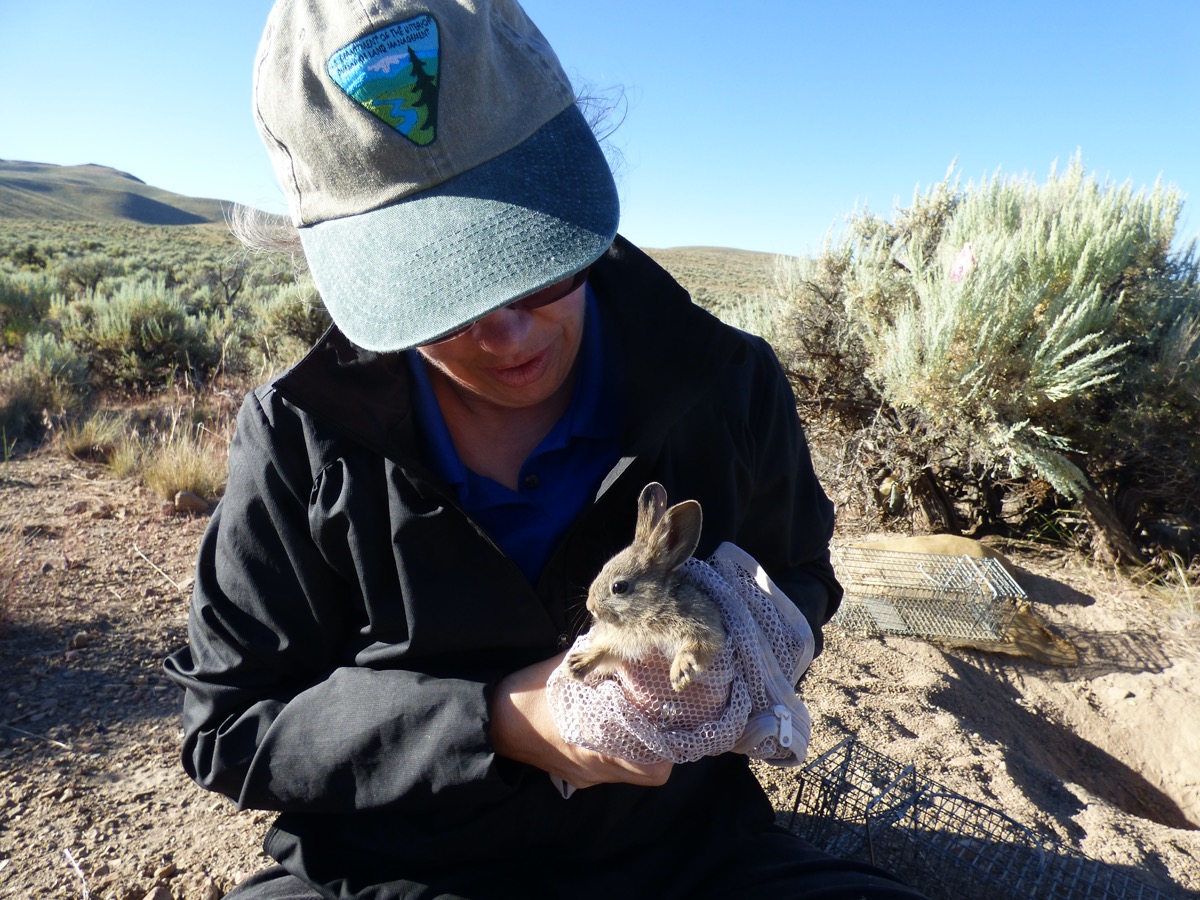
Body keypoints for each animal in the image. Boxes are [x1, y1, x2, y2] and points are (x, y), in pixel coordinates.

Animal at [566, 487, 724, 691]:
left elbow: (696, 646)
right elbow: (605, 650)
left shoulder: (703, 623)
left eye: (619, 587)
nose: (590, 606)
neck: (651, 610)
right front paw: (577, 664)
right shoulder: (619, 643)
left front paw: (680, 673)